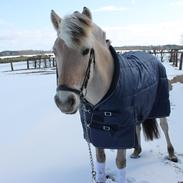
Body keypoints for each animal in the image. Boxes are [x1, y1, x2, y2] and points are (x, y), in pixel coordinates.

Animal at [50, 6, 177, 182]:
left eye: (86, 50)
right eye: (54, 51)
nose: (64, 102)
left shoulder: (121, 132)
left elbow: (120, 162)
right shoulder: (97, 133)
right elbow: (100, 161)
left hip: (160, 104)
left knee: (164, 126)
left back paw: (171, 154)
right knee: (138, 126)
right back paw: (137, 151)